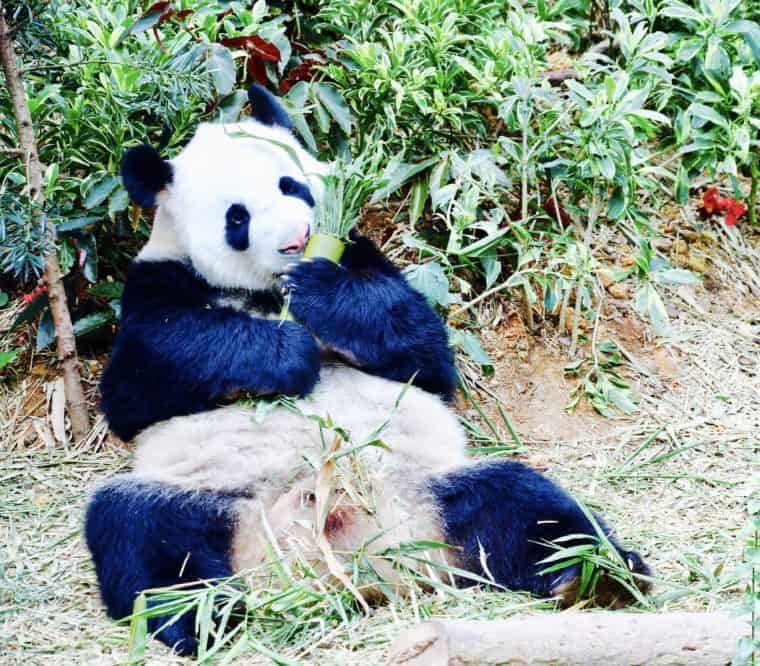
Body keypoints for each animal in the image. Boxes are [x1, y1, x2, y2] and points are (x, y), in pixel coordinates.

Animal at [86, 83, 652, 652]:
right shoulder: (157, 282)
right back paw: (203, 618)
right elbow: (138, 382)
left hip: (430, 489)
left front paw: (321, 294)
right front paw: (285, 351)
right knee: (140, 532)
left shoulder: (358, 254)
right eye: (237, 218)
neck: (270, 288)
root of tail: (352, 560)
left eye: (290, 184)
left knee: (523, 503)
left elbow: (424, 353)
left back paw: (597, 574)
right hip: (212, 499)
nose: (297, 238)